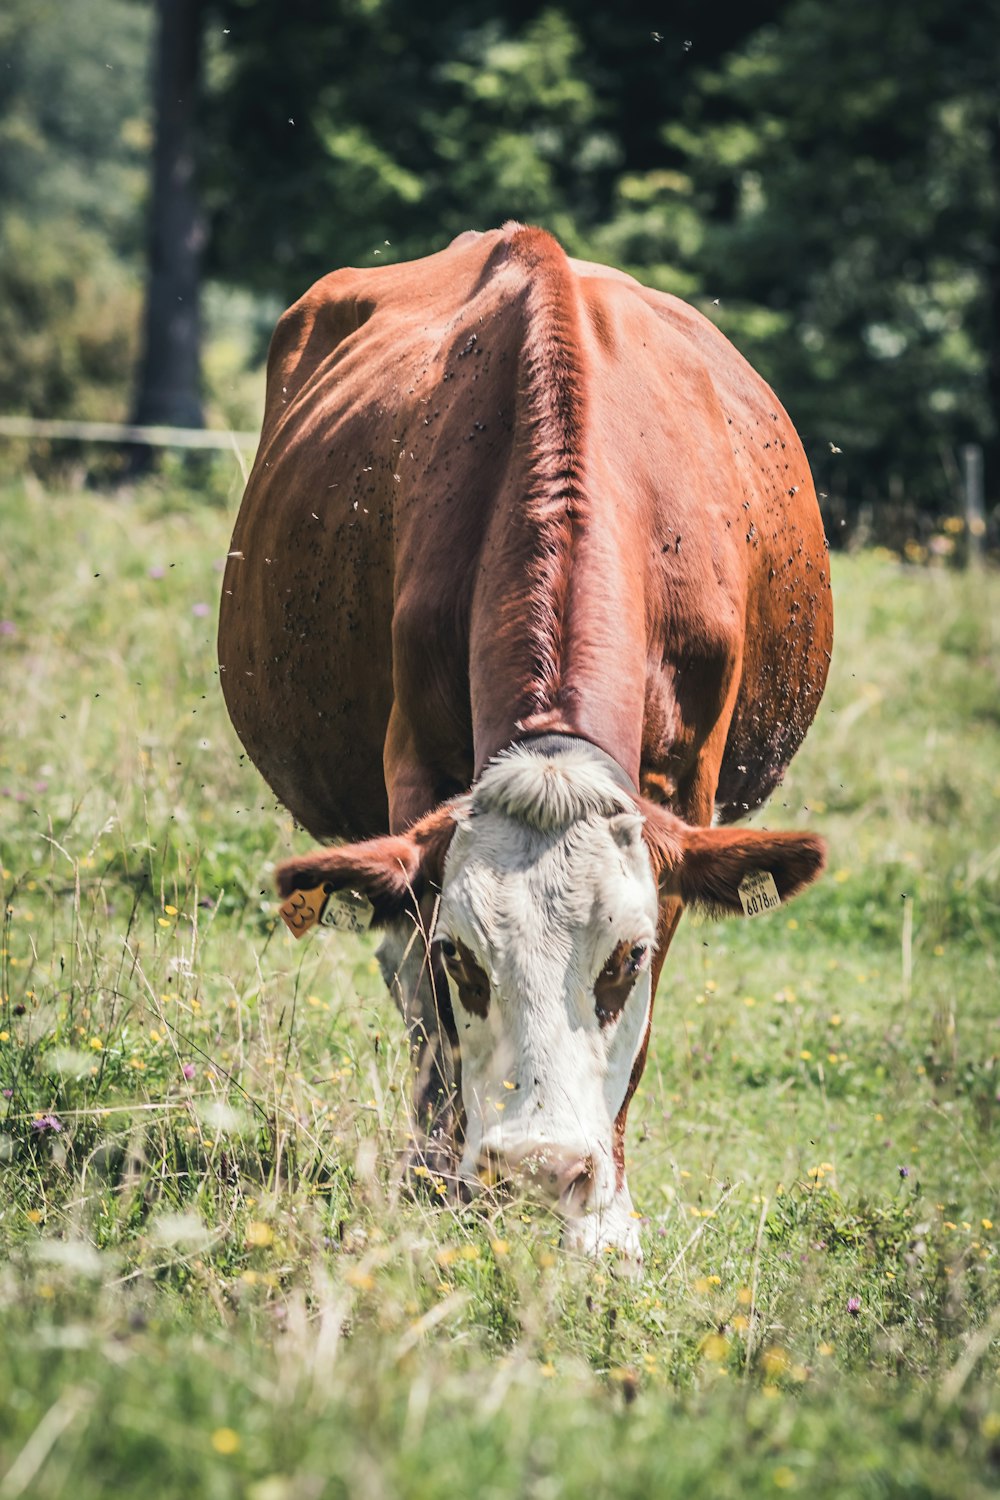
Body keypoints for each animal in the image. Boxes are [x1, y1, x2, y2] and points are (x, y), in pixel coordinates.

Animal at [218, 222, 839, 1272]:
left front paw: (610, 1220)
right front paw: (440, 1185)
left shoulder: (689, 794)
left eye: (624, 958)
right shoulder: (417, 781)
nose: (539, 1175)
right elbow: (428, 1008)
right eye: (465, 958)